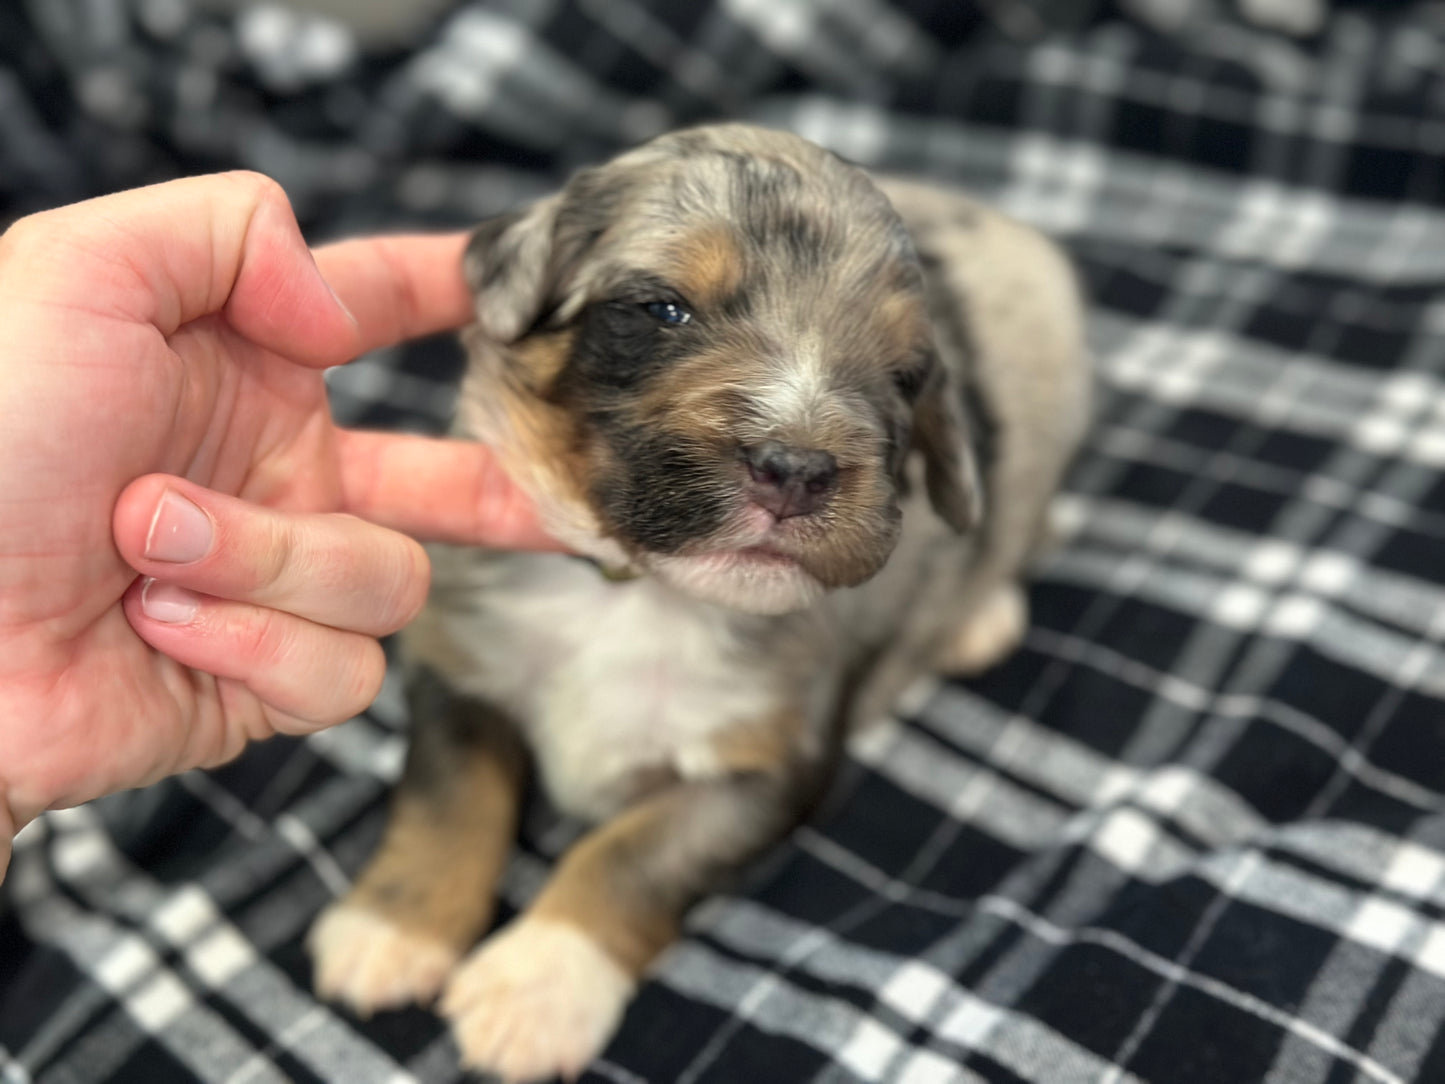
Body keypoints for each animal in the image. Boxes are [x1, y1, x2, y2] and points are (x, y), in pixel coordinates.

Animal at [310, 122, 1086, 1081]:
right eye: (664, 309)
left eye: (906, 373)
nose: (797, 469)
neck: (636, 592)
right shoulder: (459, 669)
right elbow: (447, 796)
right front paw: (394, 927)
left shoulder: (765, 768)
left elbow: (629, 855)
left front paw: (536, 987)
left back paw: (981, 616)